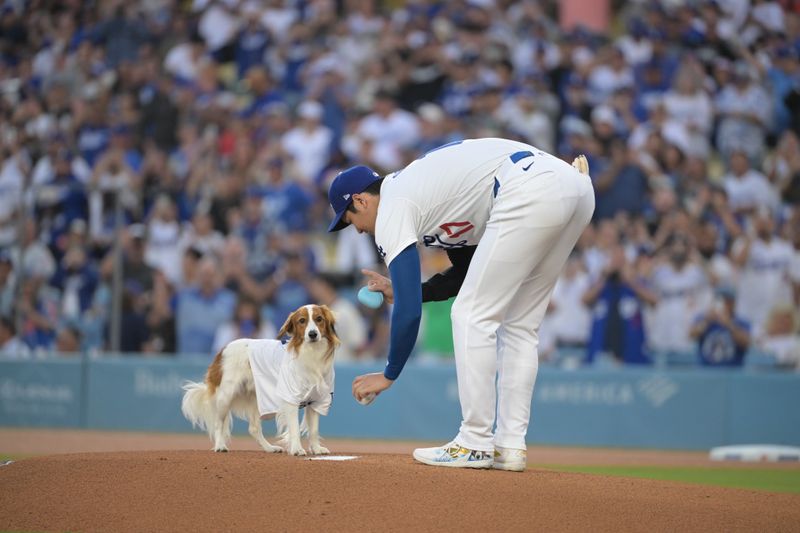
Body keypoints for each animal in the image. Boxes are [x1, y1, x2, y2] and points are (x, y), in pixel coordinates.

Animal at [182, 306, 340, 456]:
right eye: (302, 321)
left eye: (319, 319)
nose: (312, 334)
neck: (311, 353)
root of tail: (222, 350)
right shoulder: (290, 398)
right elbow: (294, 428)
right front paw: (296, 449)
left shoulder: (317, 400)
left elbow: (313, 430)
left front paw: (316, 449)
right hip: (225, 397)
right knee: (218, 423)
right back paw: (220, 446)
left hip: (258, 400)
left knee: (253, 428)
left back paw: (269, 448)